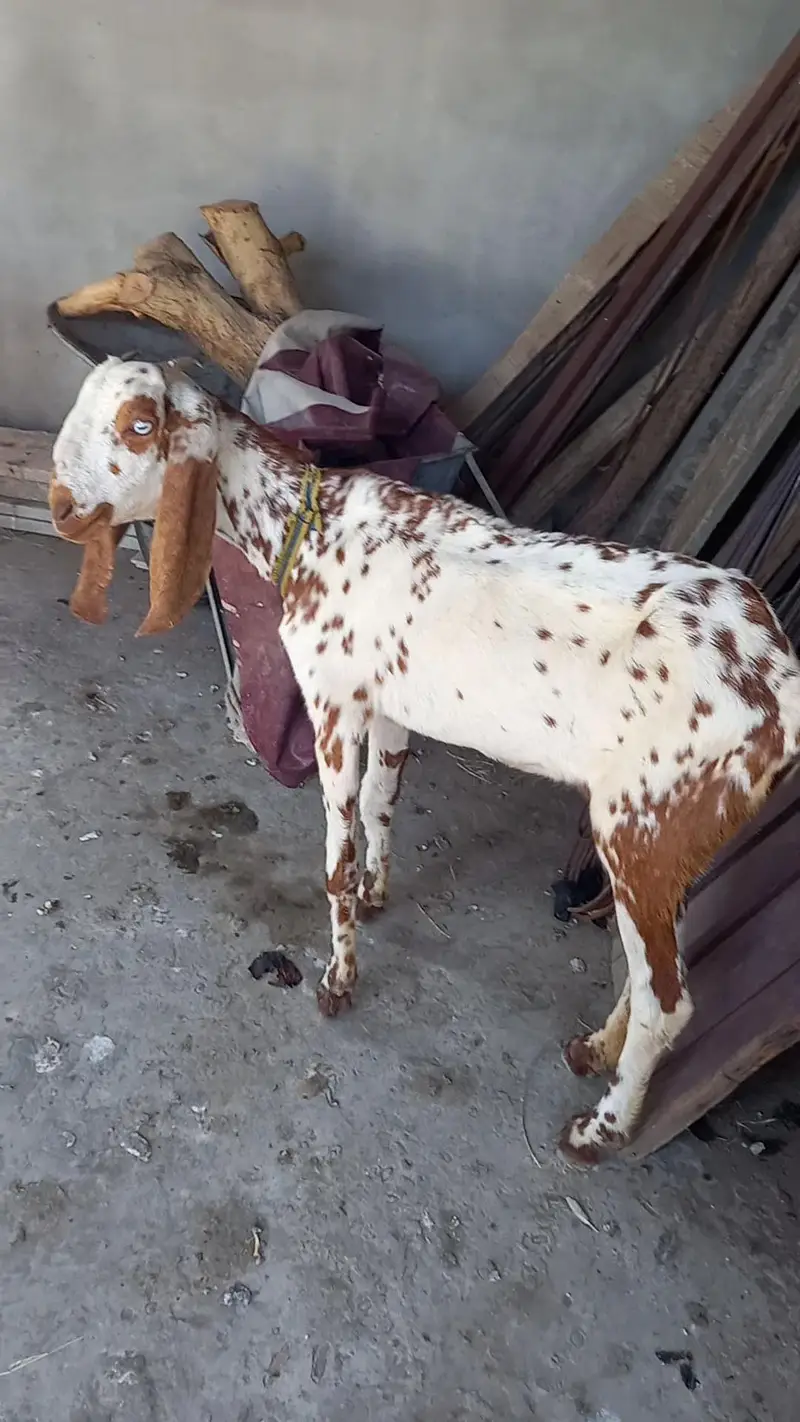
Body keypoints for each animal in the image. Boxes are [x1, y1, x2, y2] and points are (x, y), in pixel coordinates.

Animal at [49, 357, 800, 1164]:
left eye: (140, 426)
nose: (60, 505)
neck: (308, 530)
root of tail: (778, 681)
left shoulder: (334, 703)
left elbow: (335, 858)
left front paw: (338, 978)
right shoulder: (388, 705)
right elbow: (383, 802)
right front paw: (378, 894)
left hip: (639, 824)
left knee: (672, 1001)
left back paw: (599, 1129)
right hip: (679, 839)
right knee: (655, 964)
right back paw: (595, 1050)